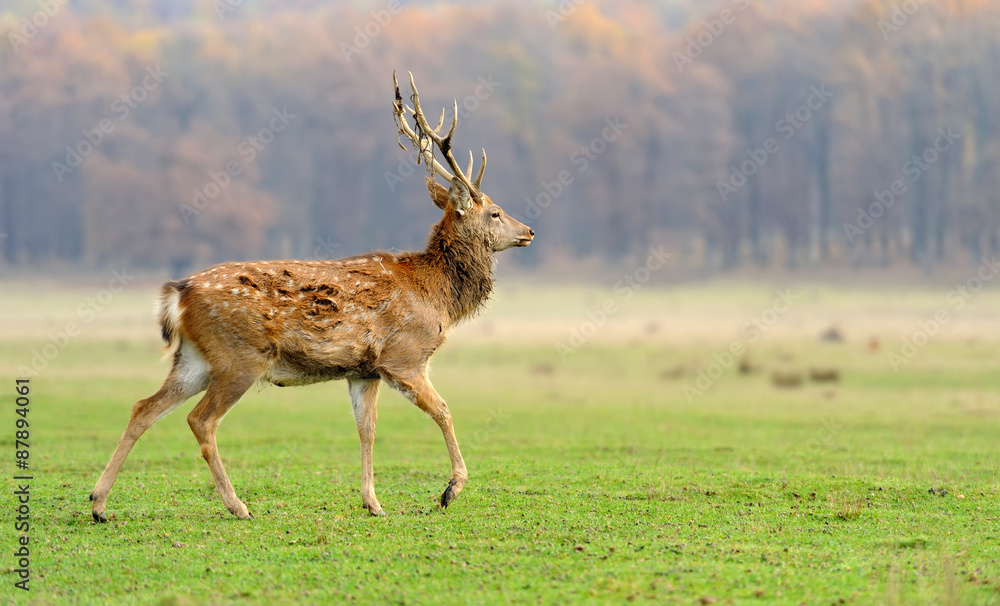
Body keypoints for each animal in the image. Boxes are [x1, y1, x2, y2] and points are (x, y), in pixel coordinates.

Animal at [90, 71, 536, 524]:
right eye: (495, 212)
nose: (529, 231)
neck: (436, 294)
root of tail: (176, 295)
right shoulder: (404, 356)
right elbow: (443, 409)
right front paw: (450, 489)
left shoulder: (364, 370)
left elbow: (366, 429)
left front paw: (372, 502)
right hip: (239, 356)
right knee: (201, 420)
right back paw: (238, 505)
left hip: (194, 359)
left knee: (143, 407)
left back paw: (99, 504)